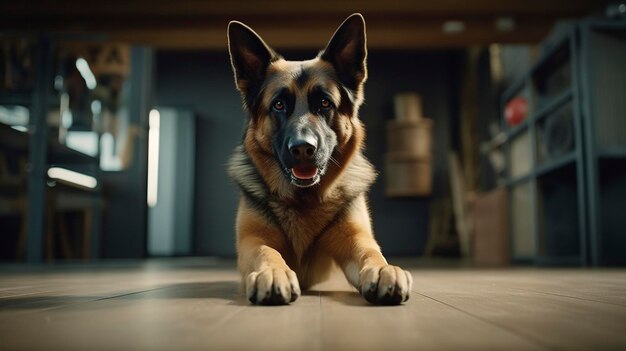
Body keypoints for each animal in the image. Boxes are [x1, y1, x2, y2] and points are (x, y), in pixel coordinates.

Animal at [227, 13, 412, 306]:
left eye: (325, 103)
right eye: (279, 105)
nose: (303, 148)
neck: (305, 201)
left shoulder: (355, 237)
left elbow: (371, 252)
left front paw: (384, 269)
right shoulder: (252, 241)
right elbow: (266, 252)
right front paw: (273, 273)